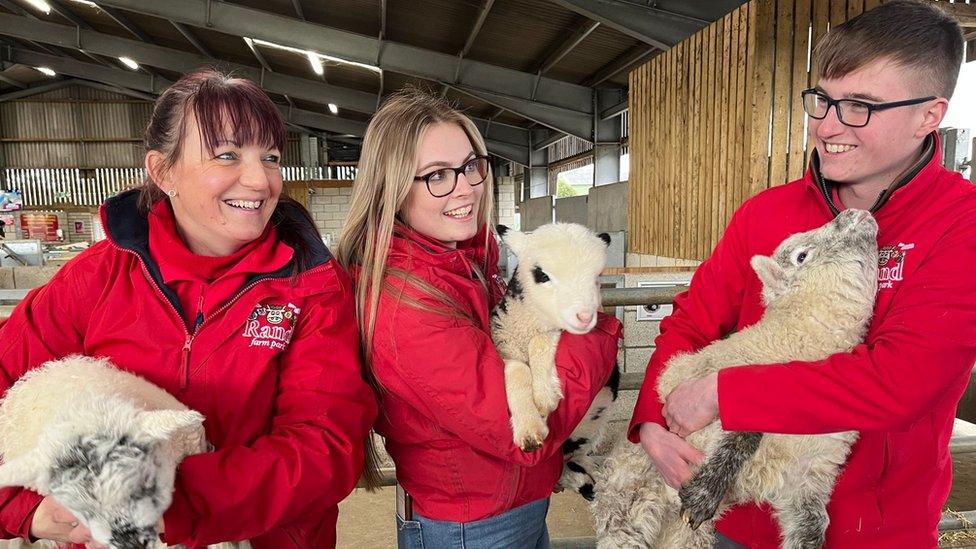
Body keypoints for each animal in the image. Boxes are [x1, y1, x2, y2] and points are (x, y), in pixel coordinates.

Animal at [492, 224, 620, 500]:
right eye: (542, 275)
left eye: (597, 276)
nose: (585, 317)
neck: (528, 325)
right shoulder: (502, 343)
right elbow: (516, 369)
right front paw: (529, 427)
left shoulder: (549, 332)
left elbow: (540, 342)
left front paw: (544, 396)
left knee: (578, 457)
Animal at [592, 208, 880, 544]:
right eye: (802, 255)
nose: (856, 213)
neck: (791, 346)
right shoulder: (695, 399)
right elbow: (743, 431)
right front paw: (703, 494)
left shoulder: (808, 478)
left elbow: (812, 529)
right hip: (627, 506)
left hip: (683, 533)